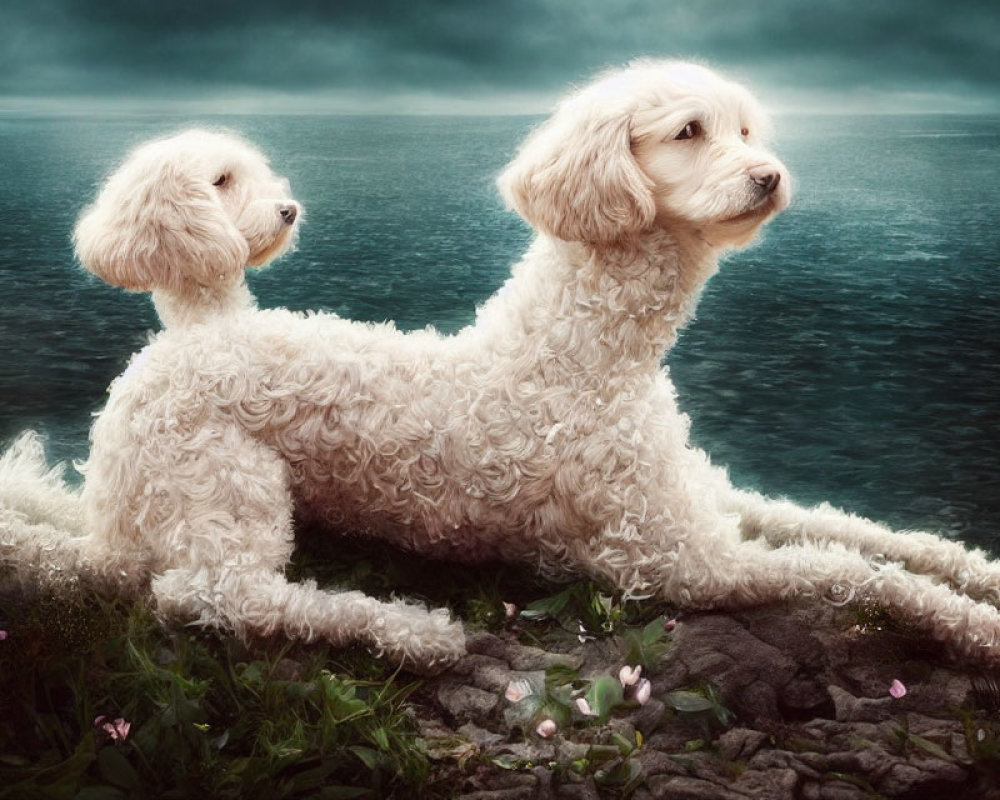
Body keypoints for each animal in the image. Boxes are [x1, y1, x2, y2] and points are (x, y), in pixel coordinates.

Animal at [1, 59, 1000, 668]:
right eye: (689, 131)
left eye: (751, 130)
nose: (771, 175)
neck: (585, 353)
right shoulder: (682, 565)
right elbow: (851, 570)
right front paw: (975, 626)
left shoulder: (709, 498)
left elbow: (860, 531)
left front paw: (975, 572)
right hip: (225, 491)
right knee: (209, 594)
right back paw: (411, 629)